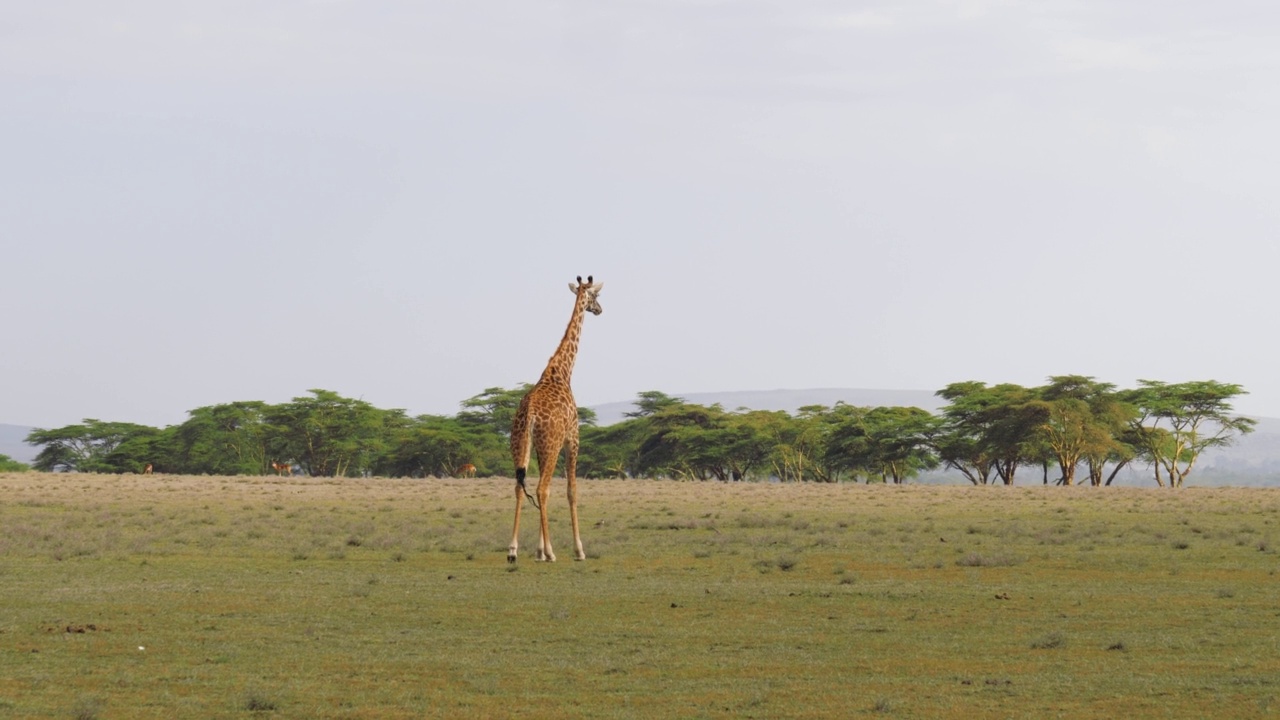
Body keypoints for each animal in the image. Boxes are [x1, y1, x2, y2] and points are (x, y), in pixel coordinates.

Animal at [506, 274, 601, 561]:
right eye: (596, 296)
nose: (599, 309)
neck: (562, 370)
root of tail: (529, 415)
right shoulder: (573, 438)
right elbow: (571, 491)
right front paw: (578, 550)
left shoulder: (539, 447)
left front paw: (537, 551)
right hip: (551, 445)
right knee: (541, 489)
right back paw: (551, 552)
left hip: (520, 445)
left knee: (520, 487)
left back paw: (513, 549)